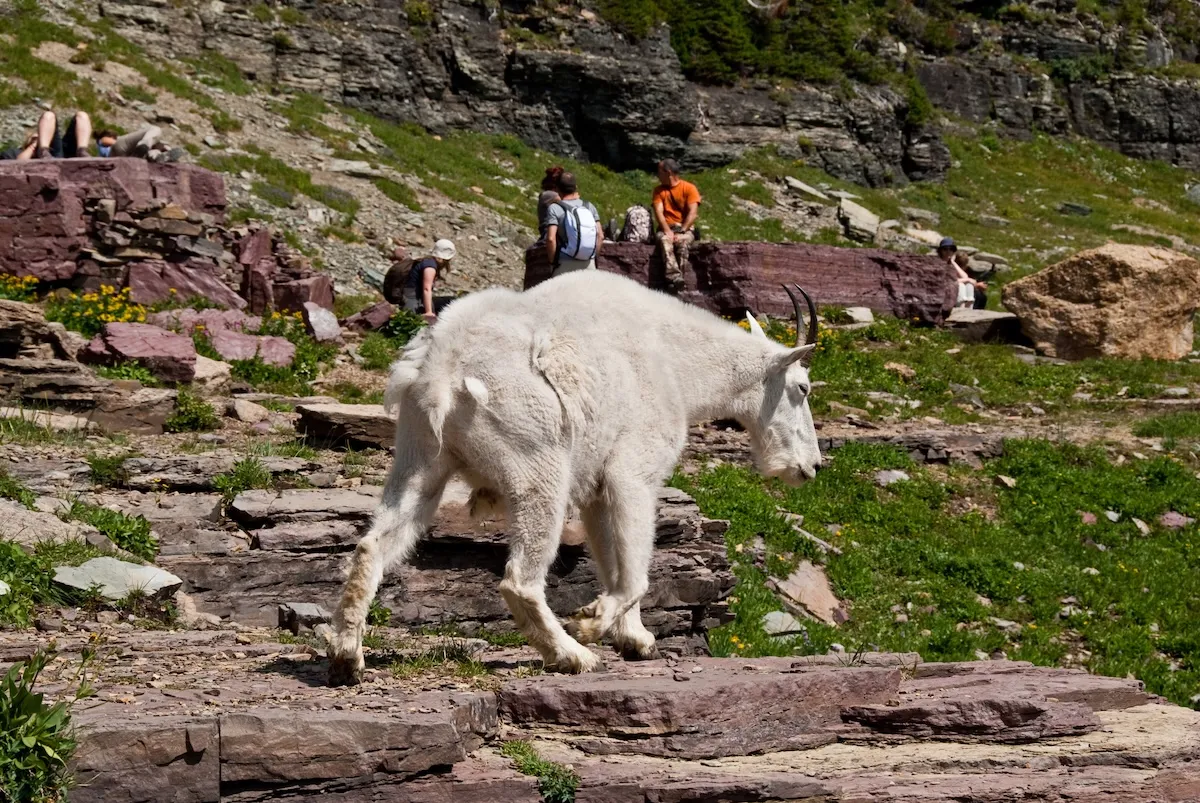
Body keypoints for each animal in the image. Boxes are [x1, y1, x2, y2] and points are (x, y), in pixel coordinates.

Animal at [327, 270, 822, 685]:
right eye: (803, 388)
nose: (811, 468)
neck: (679, 365)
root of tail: (441, 372)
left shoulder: (596, 488)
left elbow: (612, 557)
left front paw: (636, 639)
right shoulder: (633, 472)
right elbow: (636, 570)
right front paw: (591, 622)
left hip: (420, 456)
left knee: (376, 541)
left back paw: (347, 657)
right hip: (537, 461)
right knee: (520, 579)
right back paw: (572, 654)